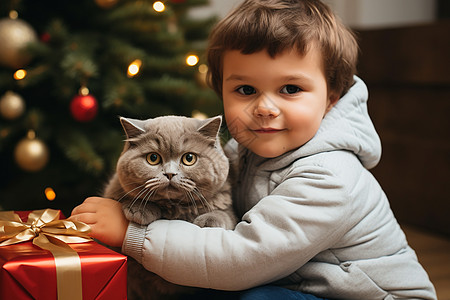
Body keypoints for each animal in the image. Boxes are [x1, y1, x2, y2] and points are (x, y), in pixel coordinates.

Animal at [102, 115, 236, 300]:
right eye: (153, 158)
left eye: (189, 158)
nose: (170, 174)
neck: (174, 208)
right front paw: (140, 210)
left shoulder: (226, 205)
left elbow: (224, 214)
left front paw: (209, 221)